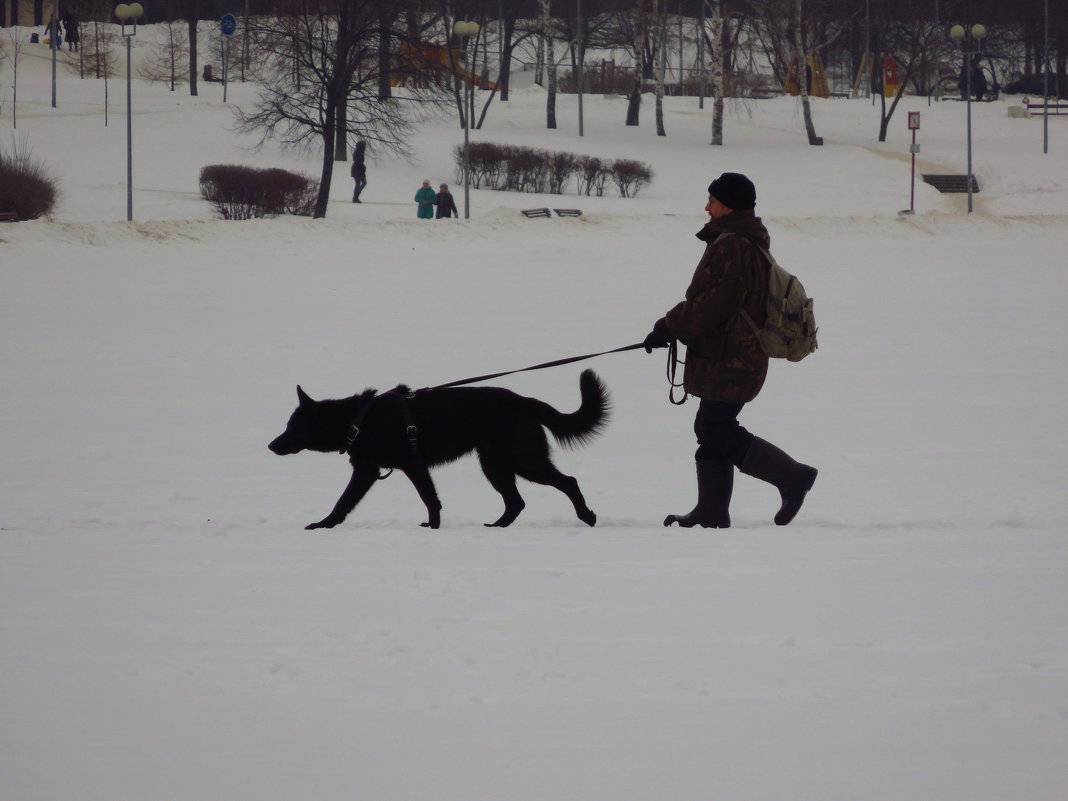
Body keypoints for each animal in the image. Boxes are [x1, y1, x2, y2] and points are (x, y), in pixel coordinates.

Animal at [269, 371, 610, 534]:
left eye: (293, 427)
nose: (271, 445)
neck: (357, 419)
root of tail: (525, 402)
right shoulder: (383, 470)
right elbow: (429, 499)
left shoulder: (398, 467)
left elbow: (345, 501)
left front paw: (322, 525)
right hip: (495, 465)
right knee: (516, 502)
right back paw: (497, 527)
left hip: (524, 461)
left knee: (568, 482)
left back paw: (587, 516)